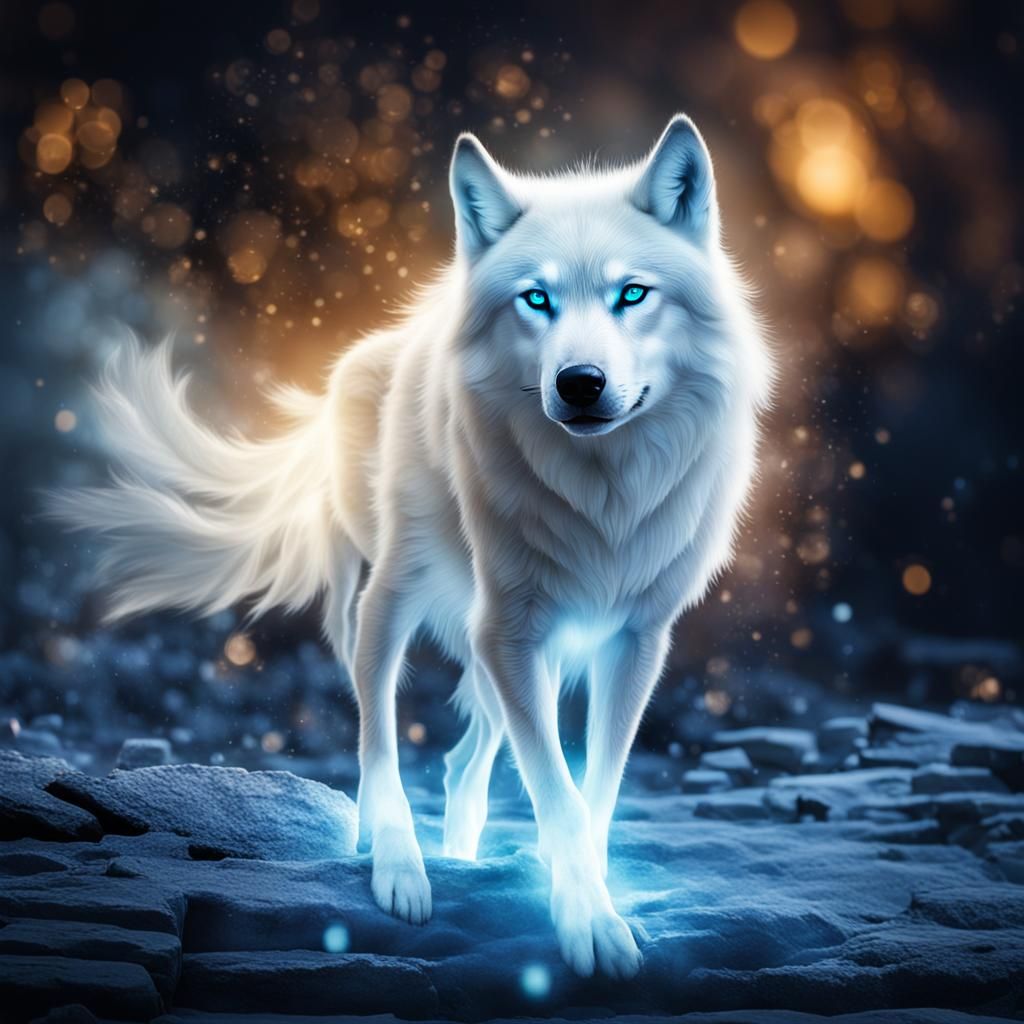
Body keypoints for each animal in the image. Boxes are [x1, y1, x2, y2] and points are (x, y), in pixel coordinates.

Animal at [51, 114, 772, 978]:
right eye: (537, 299)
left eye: (632, 294)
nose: (579, 382)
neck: (601, 494)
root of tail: (362, 354)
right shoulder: (510, 630)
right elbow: (554, 792)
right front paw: (589, 926)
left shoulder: (632, 641)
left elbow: (592, 793)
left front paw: (588, 895)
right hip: (387, 604)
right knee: (378, 748)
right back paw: (401, 867)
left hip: (495, 644)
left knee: (462, 764)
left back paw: (462, 857)